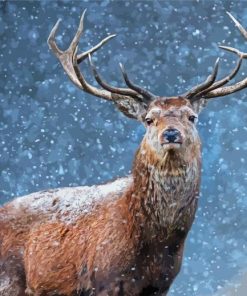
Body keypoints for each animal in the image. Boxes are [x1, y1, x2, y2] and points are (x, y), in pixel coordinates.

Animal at [0, 10, 247, 296]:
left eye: (191, 117)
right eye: (149, 119)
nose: (171, 134)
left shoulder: (160, 284)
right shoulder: (103, 279)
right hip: (9, 279)